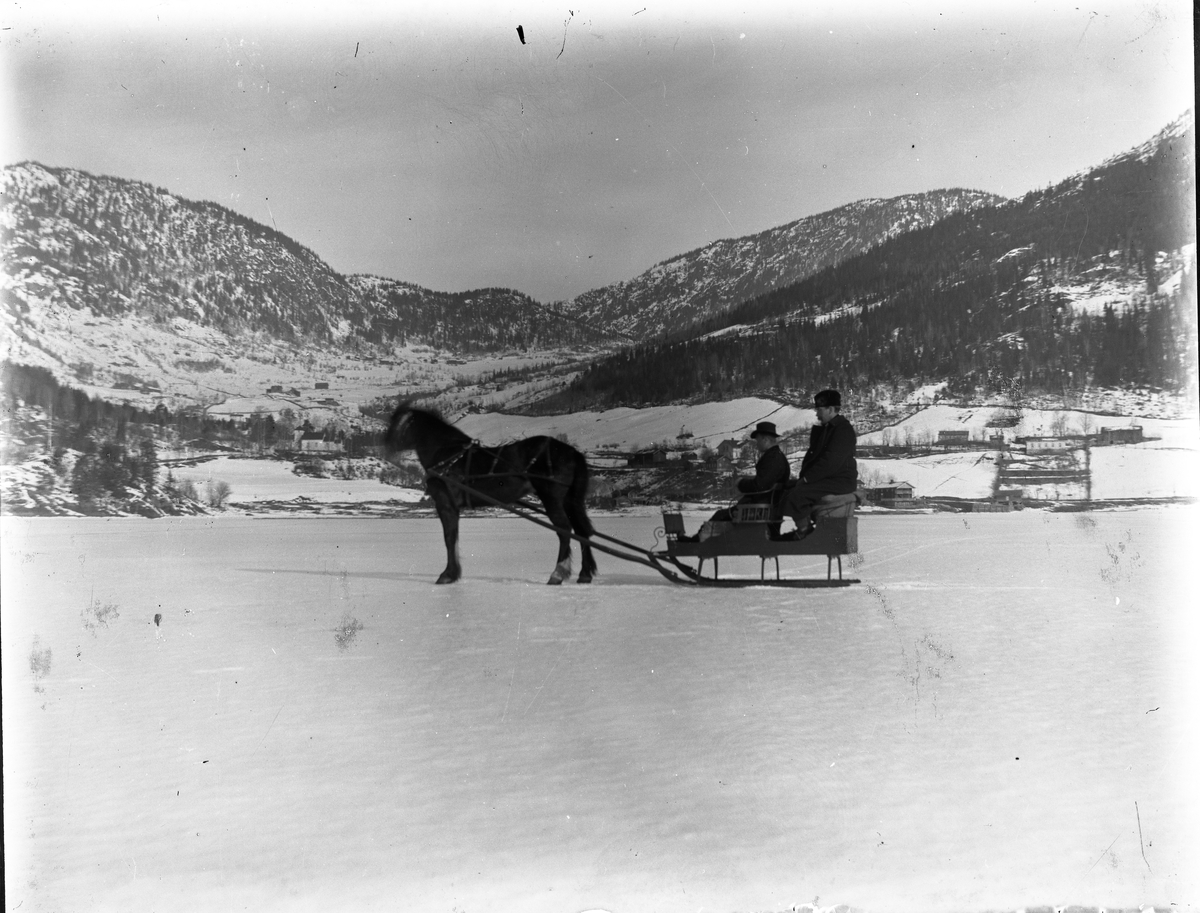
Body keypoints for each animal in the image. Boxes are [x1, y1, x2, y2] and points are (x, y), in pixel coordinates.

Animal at [386, 403, 597, 583]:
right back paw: (584, 574)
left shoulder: (445, 504)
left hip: (552, 498)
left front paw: (447, 574)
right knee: (581, 531)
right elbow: (454, 537)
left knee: (564, 530)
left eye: (397, 424)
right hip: (570, 500)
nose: (385, 445)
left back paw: (557, 574)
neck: (447, 454)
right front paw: (453, 573)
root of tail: (572, 452)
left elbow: (449, 538)